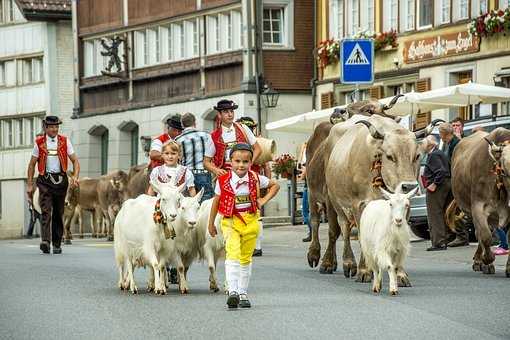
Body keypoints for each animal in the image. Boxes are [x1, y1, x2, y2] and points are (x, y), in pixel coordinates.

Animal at [450, 129, 510, 278]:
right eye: (504, 170)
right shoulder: (478, 206)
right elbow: (485, 236)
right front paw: (487, 261)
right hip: (470, 210)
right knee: (479, 234)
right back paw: (479, 261)